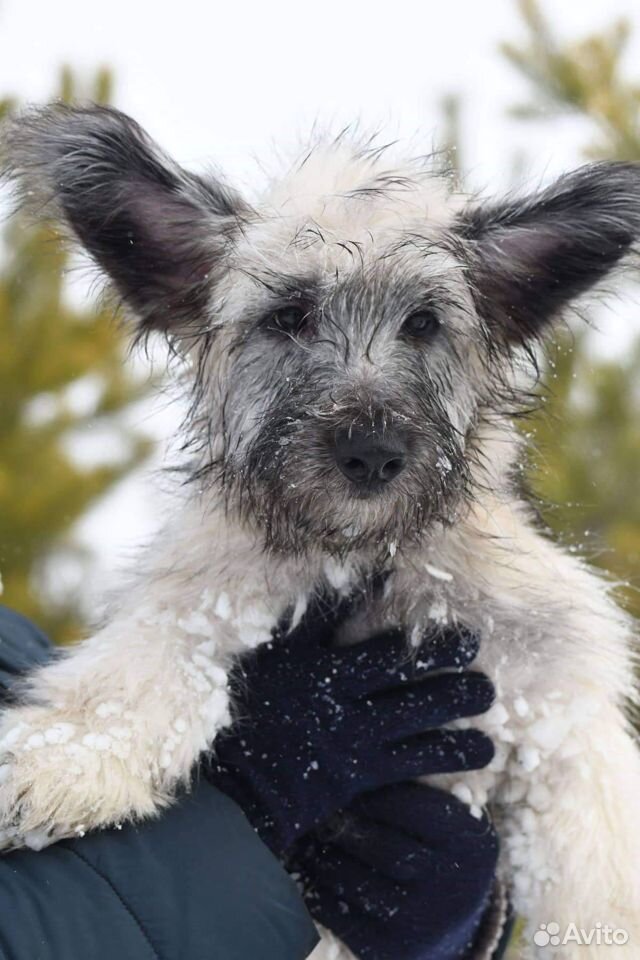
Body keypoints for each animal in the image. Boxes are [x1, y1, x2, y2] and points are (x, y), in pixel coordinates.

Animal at [1, 101, 640, 956]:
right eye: (289, 317)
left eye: (423, 323)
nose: (372, 453)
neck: (361, 552)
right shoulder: (202, 599)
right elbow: (141, 675)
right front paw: (61, 762)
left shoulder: (559, 700)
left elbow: (598, 868)